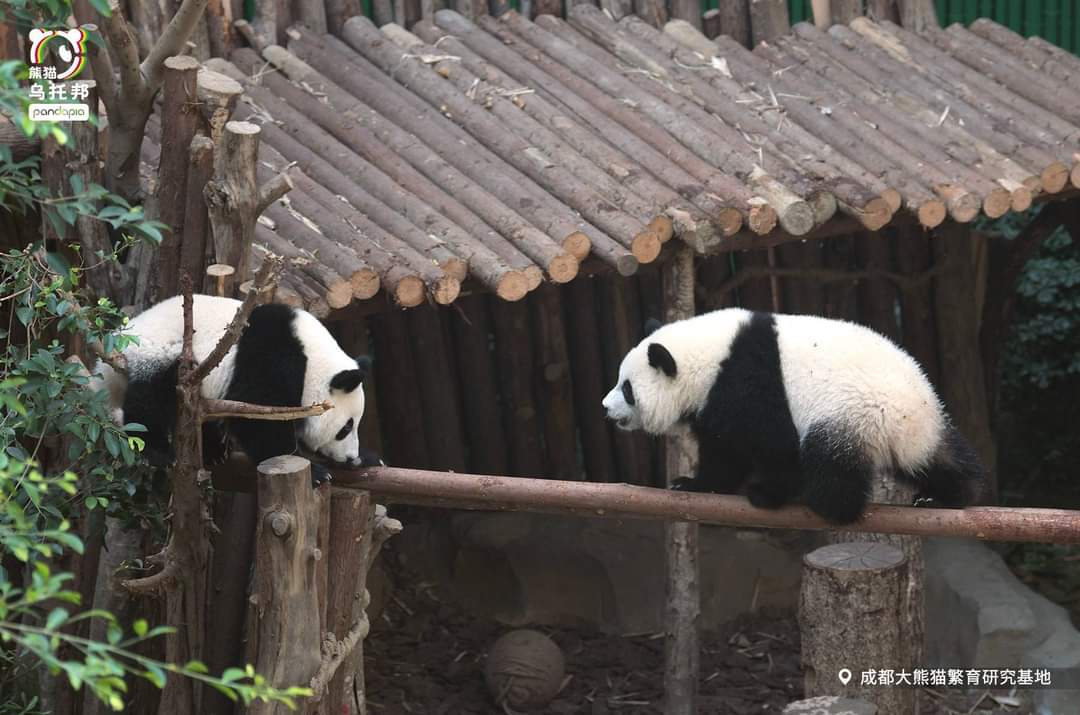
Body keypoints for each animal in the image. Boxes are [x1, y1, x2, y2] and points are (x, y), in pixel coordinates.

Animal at [95, 294, 383, 484]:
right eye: (345, 427)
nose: (350, 458)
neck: (312, 358)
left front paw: (369, 459)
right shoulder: (273, 361)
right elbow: (257, 418)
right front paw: (316, 473)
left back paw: (213, 451)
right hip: (160, 352)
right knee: (149, 399)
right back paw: (157, 451)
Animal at [601, 308, 986, 525]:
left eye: (627, 388)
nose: (605, 407)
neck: (709, 358)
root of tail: (905, 418)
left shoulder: (746, 384)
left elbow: (770, 446)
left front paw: (764, 494)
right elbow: (724, 451)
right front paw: (693, 484)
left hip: (849, 413)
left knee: (831, 463)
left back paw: (828, 506)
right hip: (925, 425)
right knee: (939, 457)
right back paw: (948, 495)